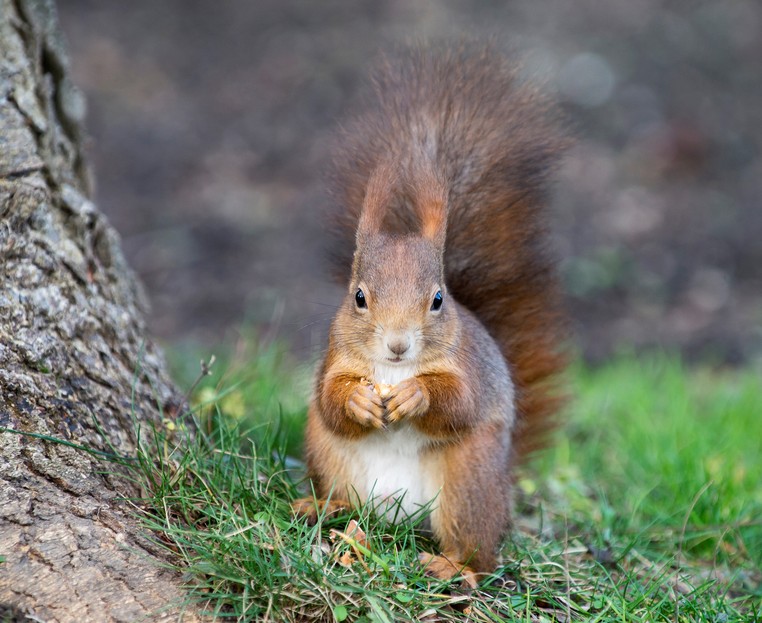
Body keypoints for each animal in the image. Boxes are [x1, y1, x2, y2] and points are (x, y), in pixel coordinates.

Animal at [294, 46, 568, 588]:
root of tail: (398, 515)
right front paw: (359, 400)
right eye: (359, 297)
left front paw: (416, 396)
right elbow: (331, 400)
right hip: (328, 454)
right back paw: (319, 507)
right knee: (343, 496)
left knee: (481, 549)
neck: (393, 371)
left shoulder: (469, 368)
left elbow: (460, 403)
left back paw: (454, 565)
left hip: (469, 479)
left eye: (438, 299)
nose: (398, 344)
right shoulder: (334, 358)